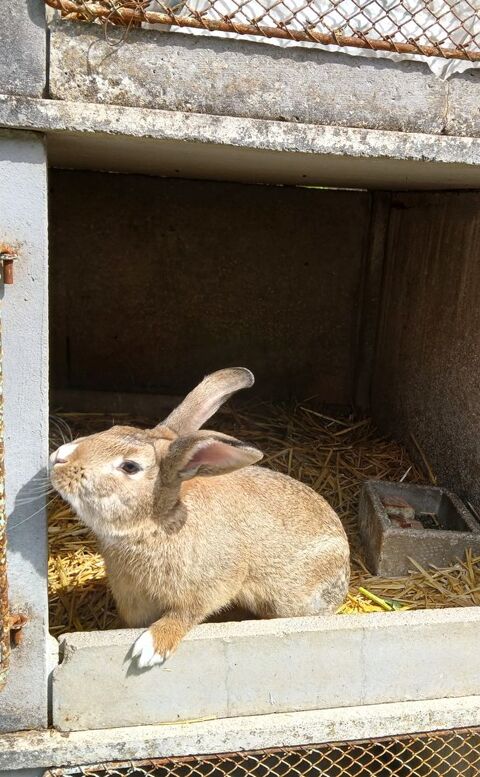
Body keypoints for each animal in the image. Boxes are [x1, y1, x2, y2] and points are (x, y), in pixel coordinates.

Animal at [50, 368, 350, 669]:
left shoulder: (212, 584)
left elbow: (187, 613)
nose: (59, 458)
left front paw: (150, 648)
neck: (156, 523)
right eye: (112, 430)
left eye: (130, 466)